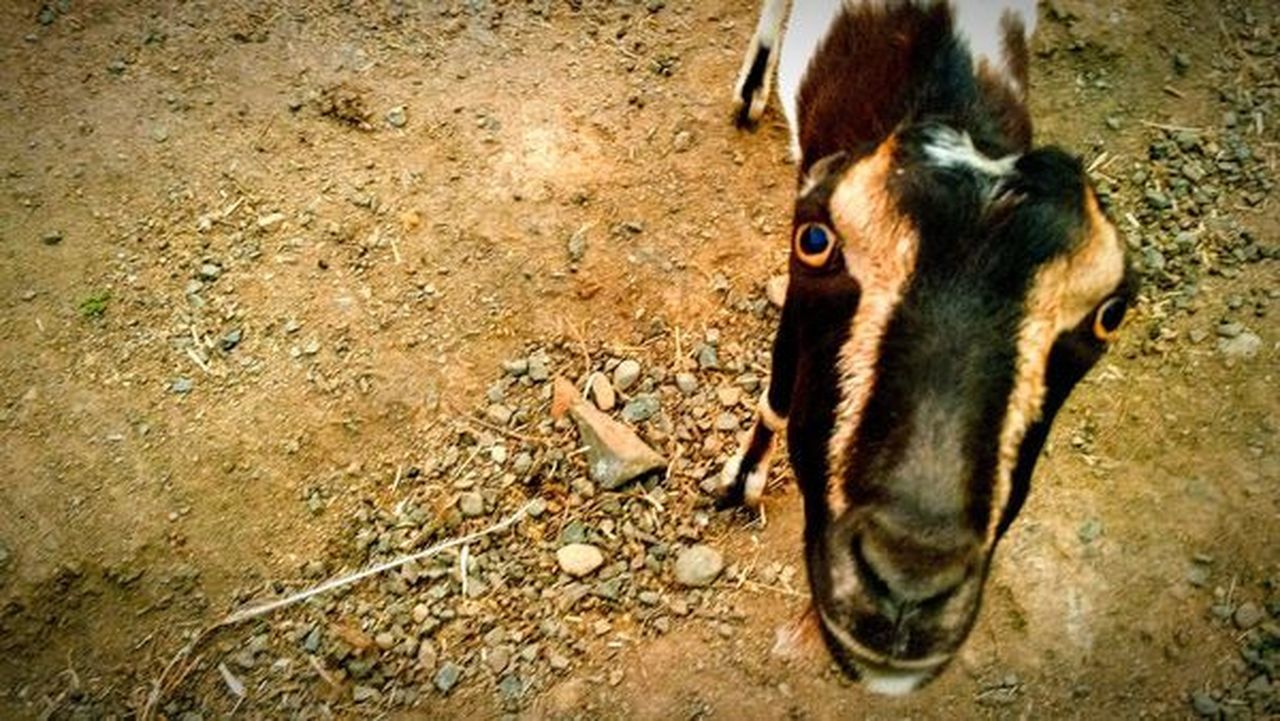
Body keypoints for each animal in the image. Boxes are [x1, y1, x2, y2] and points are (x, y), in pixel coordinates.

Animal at [727, 0, 1136, 696]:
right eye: (815, 241)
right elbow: (779, 395)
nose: (909, 582)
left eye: (1110, 314)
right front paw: (739, 484)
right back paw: (752, 92)